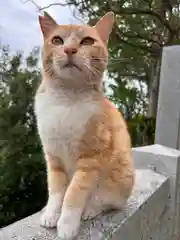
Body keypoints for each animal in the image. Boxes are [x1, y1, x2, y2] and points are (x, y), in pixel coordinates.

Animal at [34, 11, 135, 240]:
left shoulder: (90, 159)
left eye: (87, 41)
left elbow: (73, 194)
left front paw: (66, 225)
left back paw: (89, 210)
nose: (70, 49)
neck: (66, 101)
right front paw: (51, 215)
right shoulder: (53, 157)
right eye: (57, 40)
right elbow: (56, 191)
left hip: (119, 176)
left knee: (106, 201)